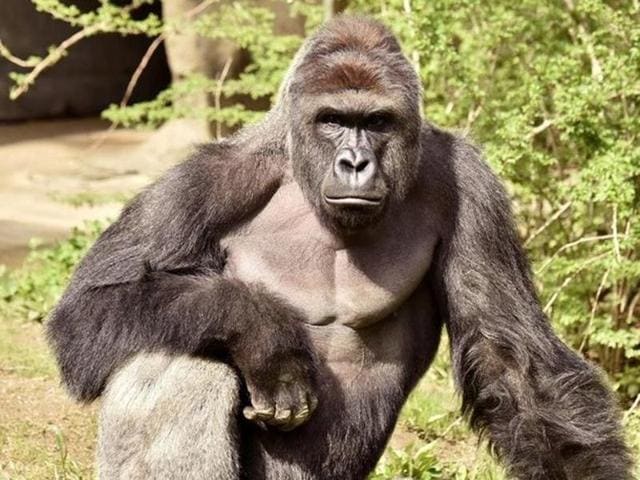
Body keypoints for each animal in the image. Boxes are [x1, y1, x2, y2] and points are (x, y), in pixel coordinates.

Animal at [47, 15, 632, 480]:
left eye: (376, 121)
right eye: (332, 119)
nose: (354, 163)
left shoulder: (471, 187)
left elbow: (513, 363)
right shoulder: (204, 181)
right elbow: (85, 312)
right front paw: (263, 332)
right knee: (175, 355)